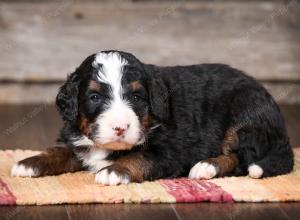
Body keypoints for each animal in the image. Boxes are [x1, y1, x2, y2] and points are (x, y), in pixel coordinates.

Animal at [10, 50, 294, 185]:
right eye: (94, 97)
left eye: (137, 97)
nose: (120, 127)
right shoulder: (77, 136)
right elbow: (59, 150)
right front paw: (28, 163)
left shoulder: (171, 150)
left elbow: (140, 157)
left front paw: (113, 171)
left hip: (245, 112)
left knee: (242, 158)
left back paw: (206, 166)